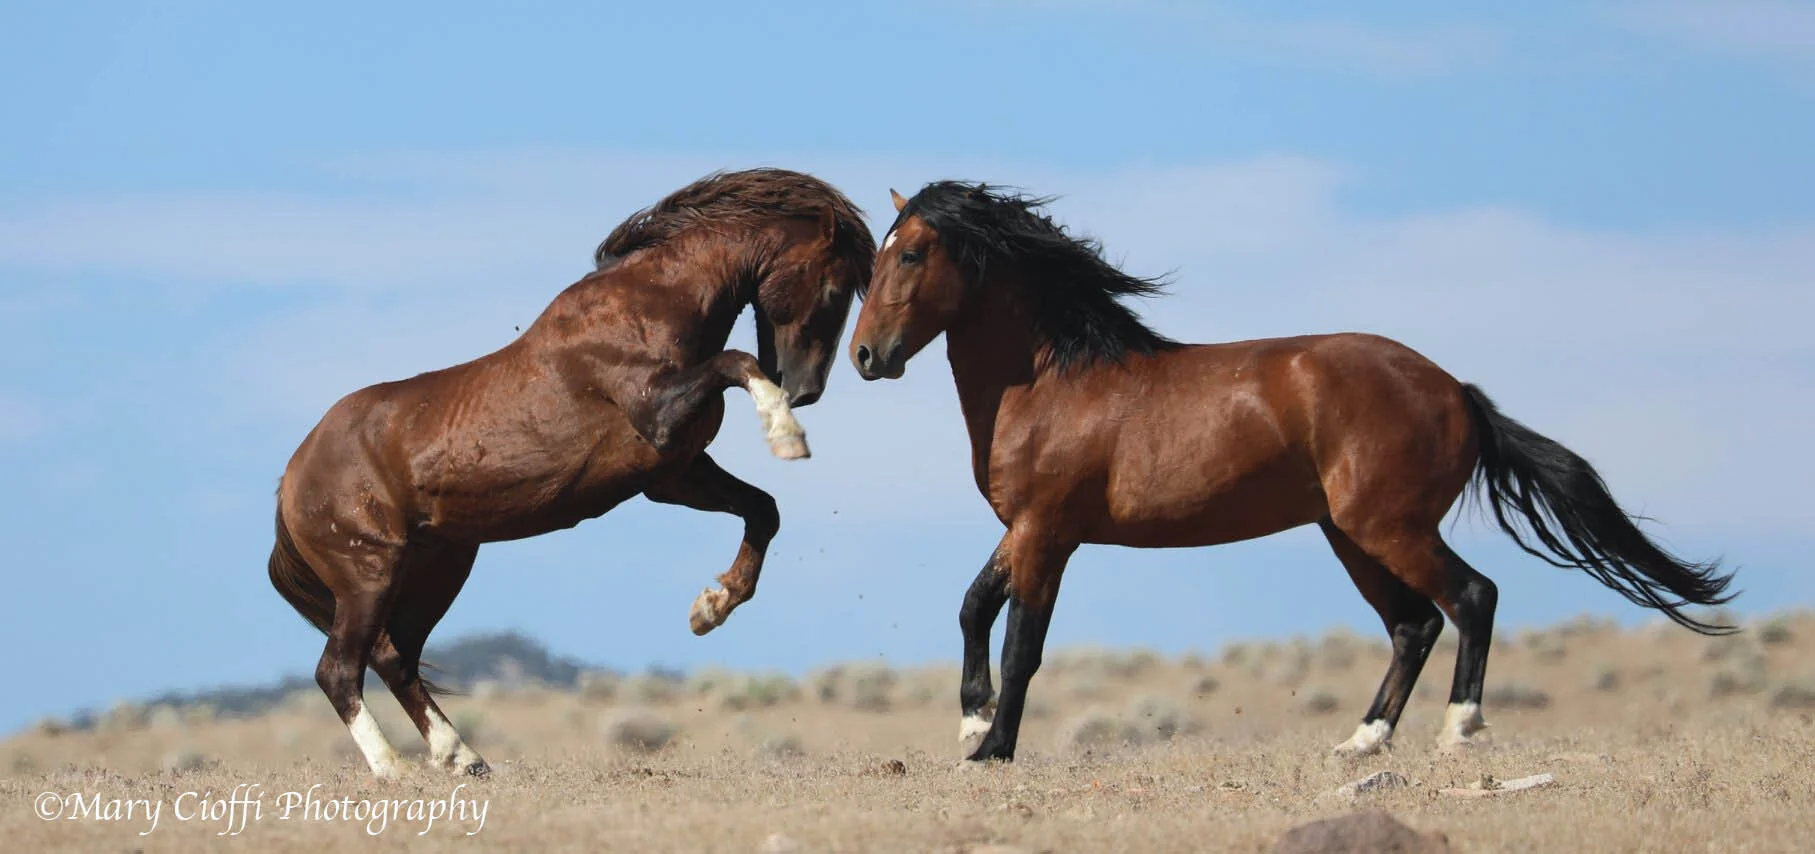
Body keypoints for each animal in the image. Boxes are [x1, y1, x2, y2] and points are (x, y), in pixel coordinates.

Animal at [268, 167, 875, 778]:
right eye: (833, 289)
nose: (805, 389)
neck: (648, 305)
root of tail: (291, 478)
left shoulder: (672, 475)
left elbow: (762, 511)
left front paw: (711, 608)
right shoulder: (659, 418)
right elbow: (736, 361)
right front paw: (786, 434)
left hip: (437, 569)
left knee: (396, 659)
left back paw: (463, 758)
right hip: (370, 572)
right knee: (339, 669)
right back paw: (392, 769)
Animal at [848, 181, 1735, 763]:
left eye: (914, 252)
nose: (864, 356)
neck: (1051, 381)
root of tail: (1454, 389)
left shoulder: (1048, 533)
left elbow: (1021, 643)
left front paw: (992, 748)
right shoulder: (1026, 529)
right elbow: (973, 607)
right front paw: (972, 723)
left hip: (1387, 527)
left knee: (1470, 597)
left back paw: (1458, 730)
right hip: (1350, 536)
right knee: (1414, 624)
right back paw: (1361, 742)